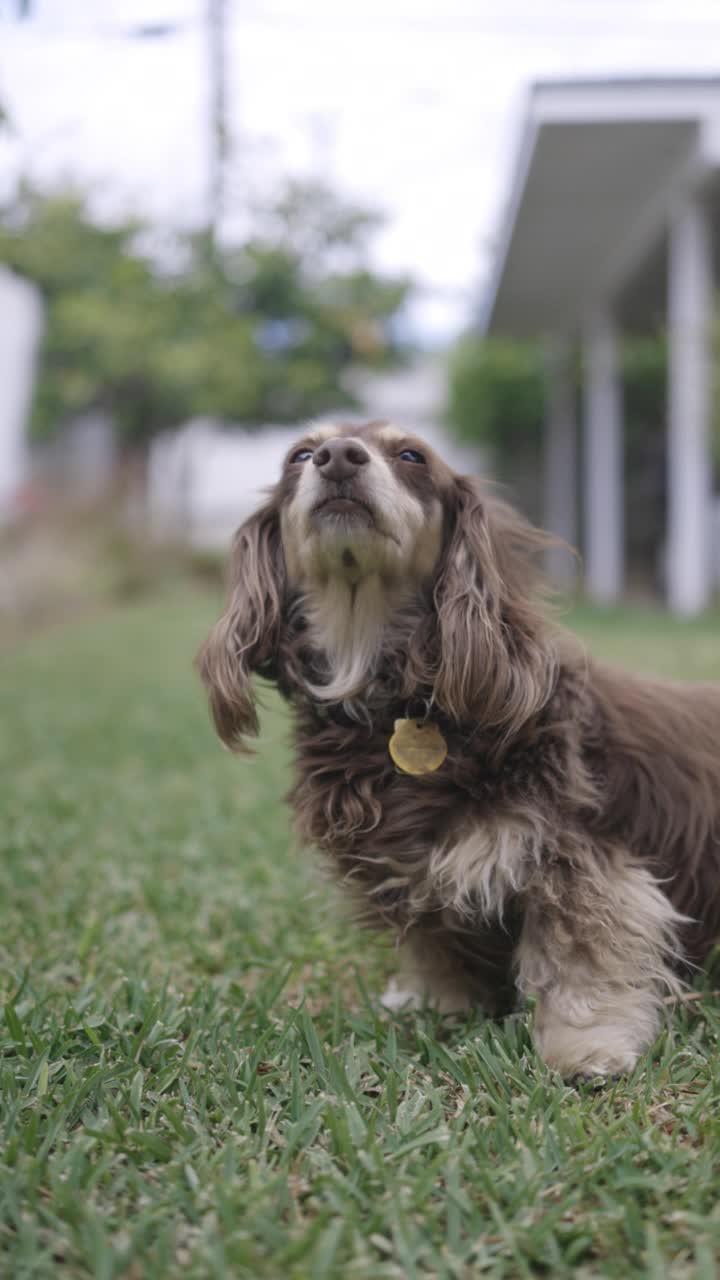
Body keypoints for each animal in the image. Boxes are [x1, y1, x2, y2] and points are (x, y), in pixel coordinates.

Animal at [194, 422, 717, 1080]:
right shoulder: (408, 871)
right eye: (299, 454)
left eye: (412, 455)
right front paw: (438, 1006)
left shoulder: (574, 856)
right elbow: (437, 948)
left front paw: (584, 1047)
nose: (337, 458)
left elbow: (579, 954)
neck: (393, 701)